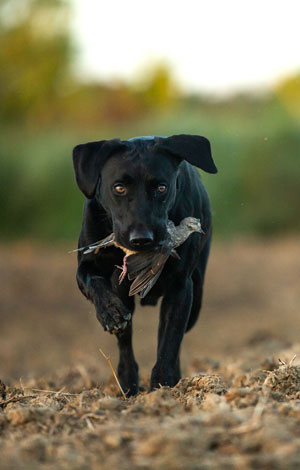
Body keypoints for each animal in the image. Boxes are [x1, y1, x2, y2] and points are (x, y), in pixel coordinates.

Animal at [72, 134, 218, 394]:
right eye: (119, 187)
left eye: (162, 187)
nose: (142, 239)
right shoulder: (87, 267)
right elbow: (94, 282)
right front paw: (109, 312)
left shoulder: (181, 288)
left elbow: (169, 343)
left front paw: (162, 388)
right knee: (125, 341)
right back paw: (127, 381)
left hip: (196, 299)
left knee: (170, 338)